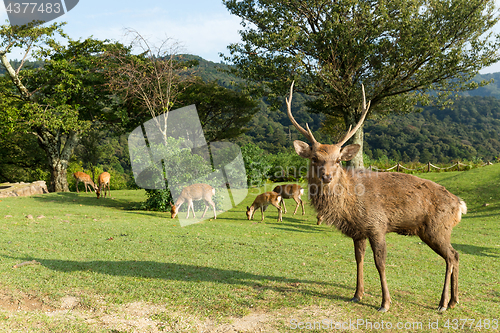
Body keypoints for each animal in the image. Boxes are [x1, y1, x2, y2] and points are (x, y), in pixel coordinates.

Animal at [288, 81, 466, 312]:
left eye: (338, 160)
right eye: (315, 158)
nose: (327, 176)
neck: (350, 206)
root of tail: (459, 205)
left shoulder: (377, 224)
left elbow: (380, 262)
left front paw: (385, 303)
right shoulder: (358, 232)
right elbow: (358, 259)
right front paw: (357, 294)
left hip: (437, 228)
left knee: (451, 256)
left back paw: (443, 303)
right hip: (434, 231)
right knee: (455, 255)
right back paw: (453, 301)